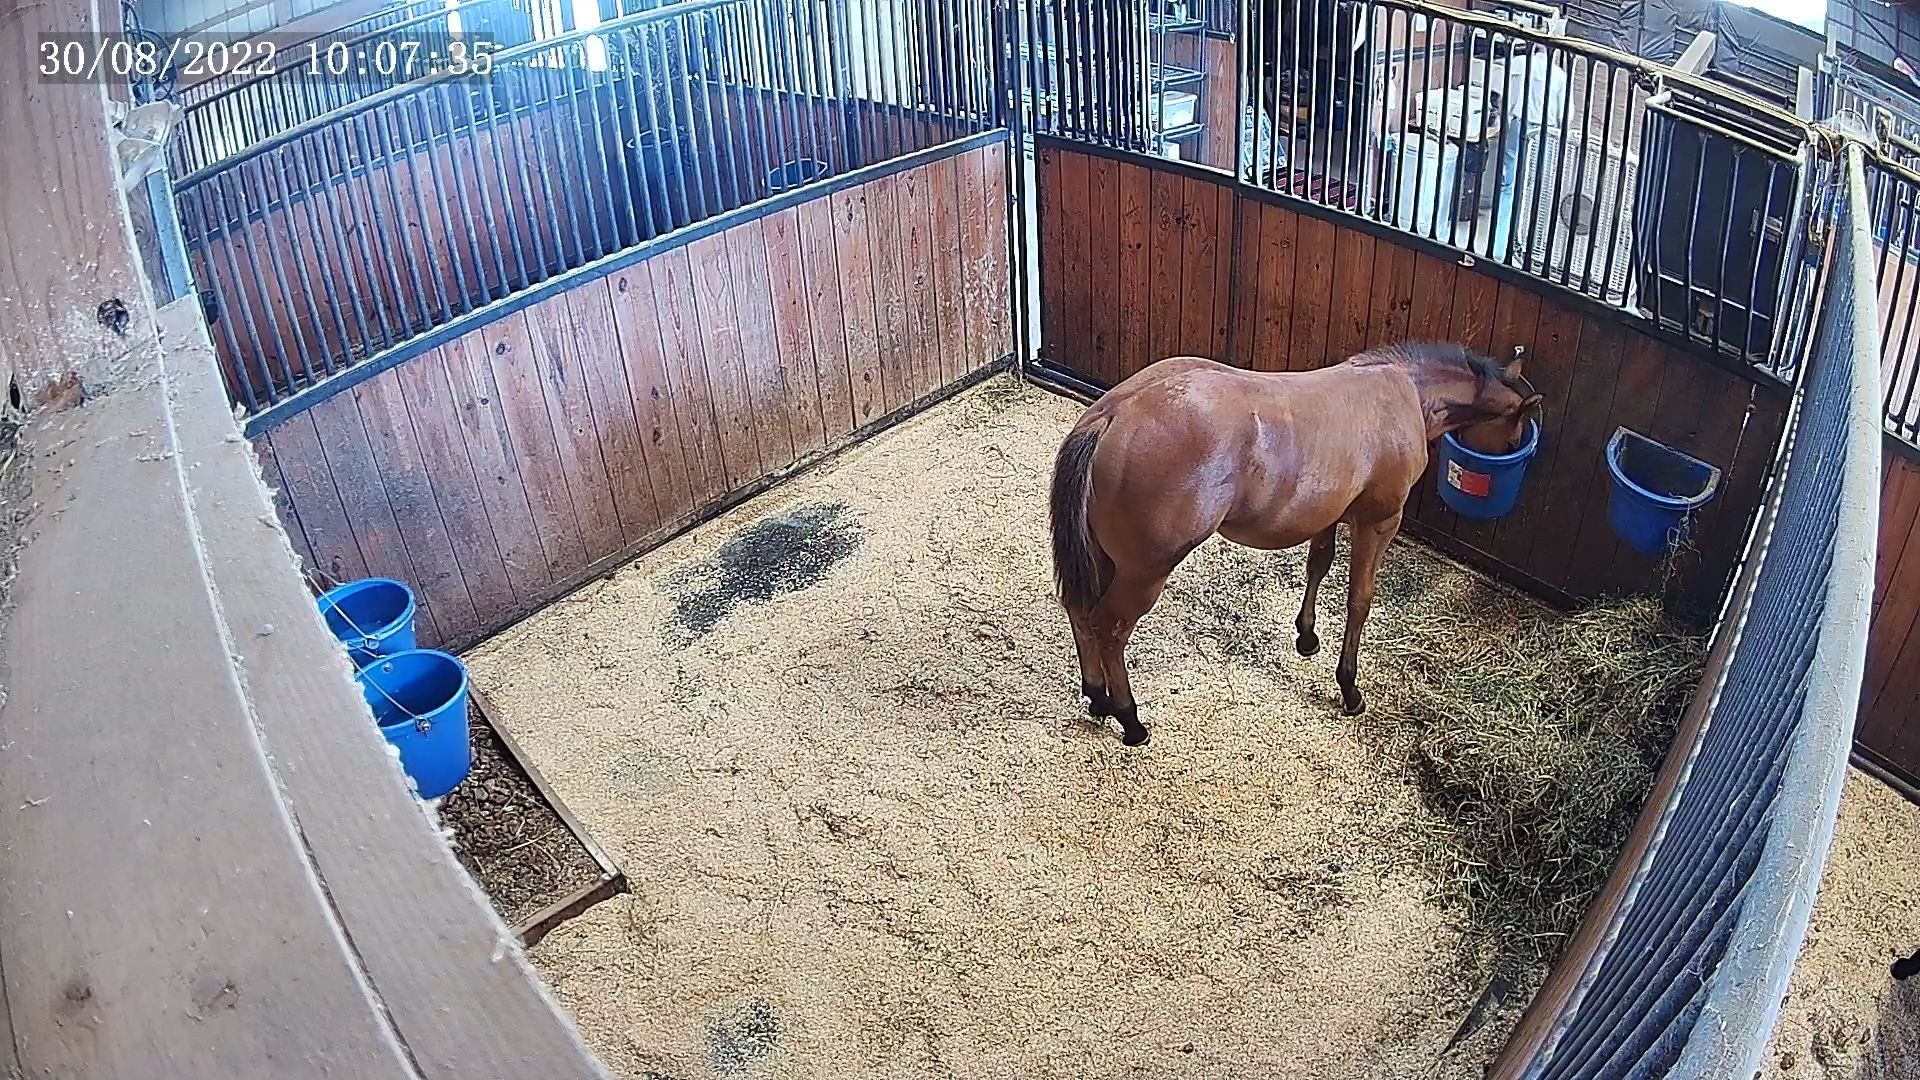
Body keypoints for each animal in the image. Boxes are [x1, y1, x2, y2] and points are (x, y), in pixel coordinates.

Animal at [1048, 342, 1542, 747]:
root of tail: (1114, 412)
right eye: (1516, 436)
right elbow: (1359, 599)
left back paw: (1096, 696)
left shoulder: (1330, 514)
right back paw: (1129, 719)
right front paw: (1349, 687)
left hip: (1104, 558)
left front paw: (1307, 636)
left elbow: (1318, 565)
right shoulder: (1378, 522)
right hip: (1144, 571)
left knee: (1079, 609)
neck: (1404, 393)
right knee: (1109, 626)